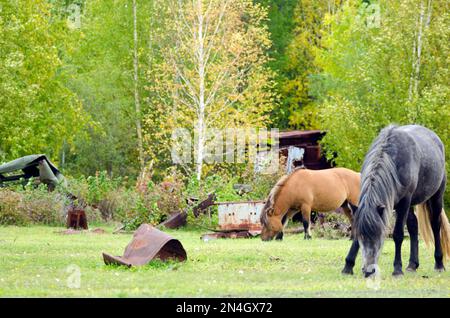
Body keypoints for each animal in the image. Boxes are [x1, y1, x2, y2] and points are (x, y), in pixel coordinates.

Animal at [342, 123, 448, 278]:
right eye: (361, 236)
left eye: (380, 235)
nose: (369, 271)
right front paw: (348, 266)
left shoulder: (404, 202)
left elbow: (398, 235)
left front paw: (397, 269)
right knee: (413, 226)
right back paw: (412, 265)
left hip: (436, 197)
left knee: (435, 225)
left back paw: (439, 264)